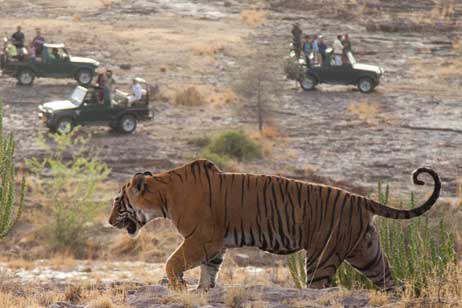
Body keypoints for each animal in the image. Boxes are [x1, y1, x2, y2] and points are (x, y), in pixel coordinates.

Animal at [107, 160, 440, 290]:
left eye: (117, 201)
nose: (109, 221)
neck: (163, 195)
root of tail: (361, 199)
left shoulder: (201, 239)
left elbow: (172, 262)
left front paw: (179, 287)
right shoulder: (214, 245)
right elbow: (208, 271)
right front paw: (201, 290)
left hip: (322, 256)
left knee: (318, 286)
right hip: (367, 252)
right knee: (390, 281)